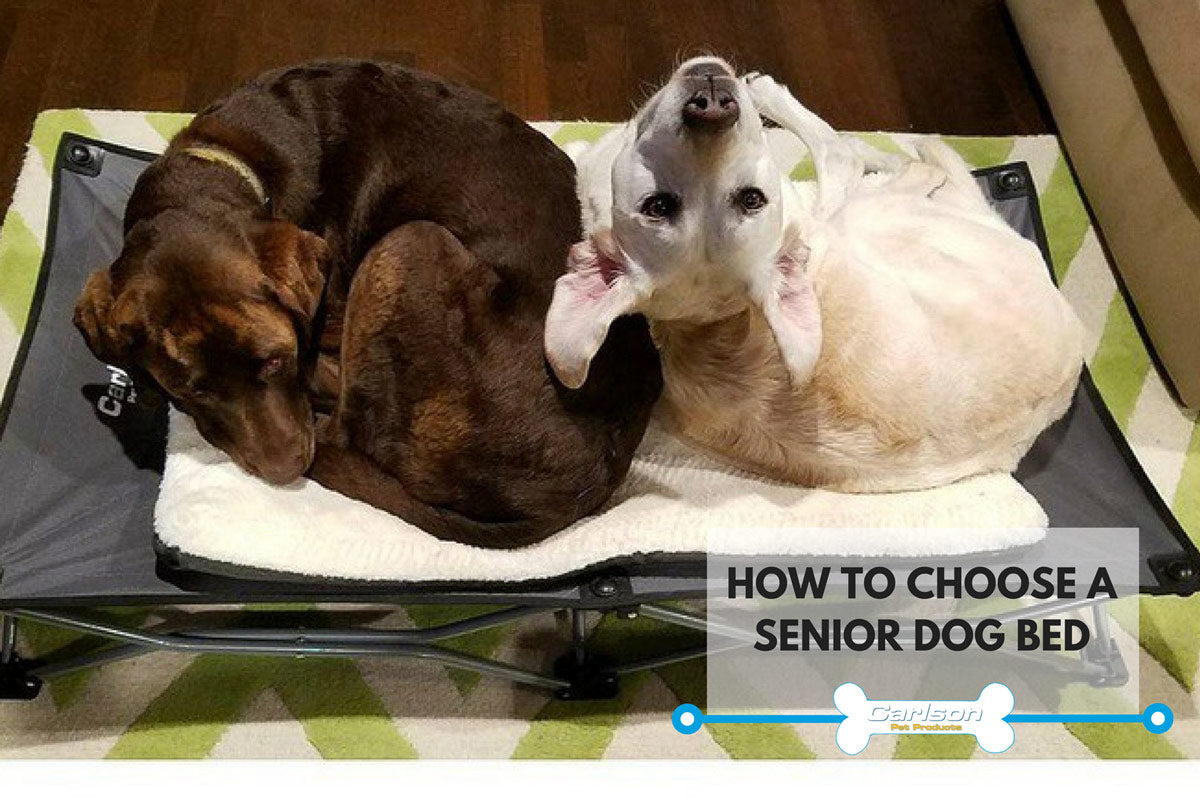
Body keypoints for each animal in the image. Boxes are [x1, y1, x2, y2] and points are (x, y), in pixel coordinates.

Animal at [73, 59, 662, 546]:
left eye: (275, 361)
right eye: (192, 390)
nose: (285, 471)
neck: (230, 161)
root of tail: (577, 496)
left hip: (408, 242)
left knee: (354, 430)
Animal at [547, 56, 1089, 491]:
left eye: (751, 199)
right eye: (657, 205)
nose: (714, 102)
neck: (708, 329)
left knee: (867, 159)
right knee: (888, 163)